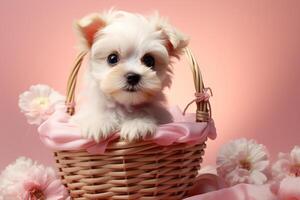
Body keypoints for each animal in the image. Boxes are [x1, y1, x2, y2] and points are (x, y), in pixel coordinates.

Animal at [70, 9, 188, 142]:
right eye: (112, 58)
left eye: (149, 61)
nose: (132, 77)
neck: (125, 105)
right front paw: (98, 123)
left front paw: (137, 123)